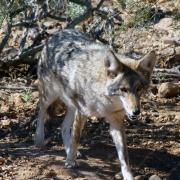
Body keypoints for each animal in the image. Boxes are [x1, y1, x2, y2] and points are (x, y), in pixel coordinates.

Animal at [34, 29, 156, 180]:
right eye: (124, 90)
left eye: (139, 89)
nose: (136, 112)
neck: (106, 101)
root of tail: (59, 32)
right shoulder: (82, 112)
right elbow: (76, 137)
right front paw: (70, 162)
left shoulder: (116, 122)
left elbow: (124, 155)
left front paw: (128, 175)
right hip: (50, 95)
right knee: (41, 110)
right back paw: (39, 138)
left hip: (72, 105)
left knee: (63, 127)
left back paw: (70, 151)